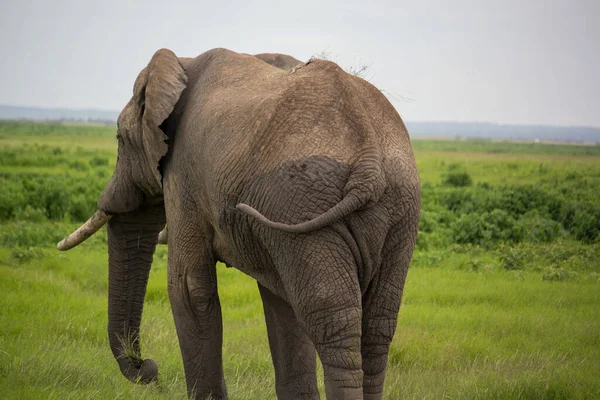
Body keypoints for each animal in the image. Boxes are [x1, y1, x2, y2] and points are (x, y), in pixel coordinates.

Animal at [58, 47, 420, 400]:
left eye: (119, 139)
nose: (148, 367)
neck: (182, 64)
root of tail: (369, 159)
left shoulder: (185, 175)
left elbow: (188, 288)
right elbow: (279, 302)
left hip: (303, 201)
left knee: (331, 319)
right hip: (394, 212)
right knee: (377, 324)